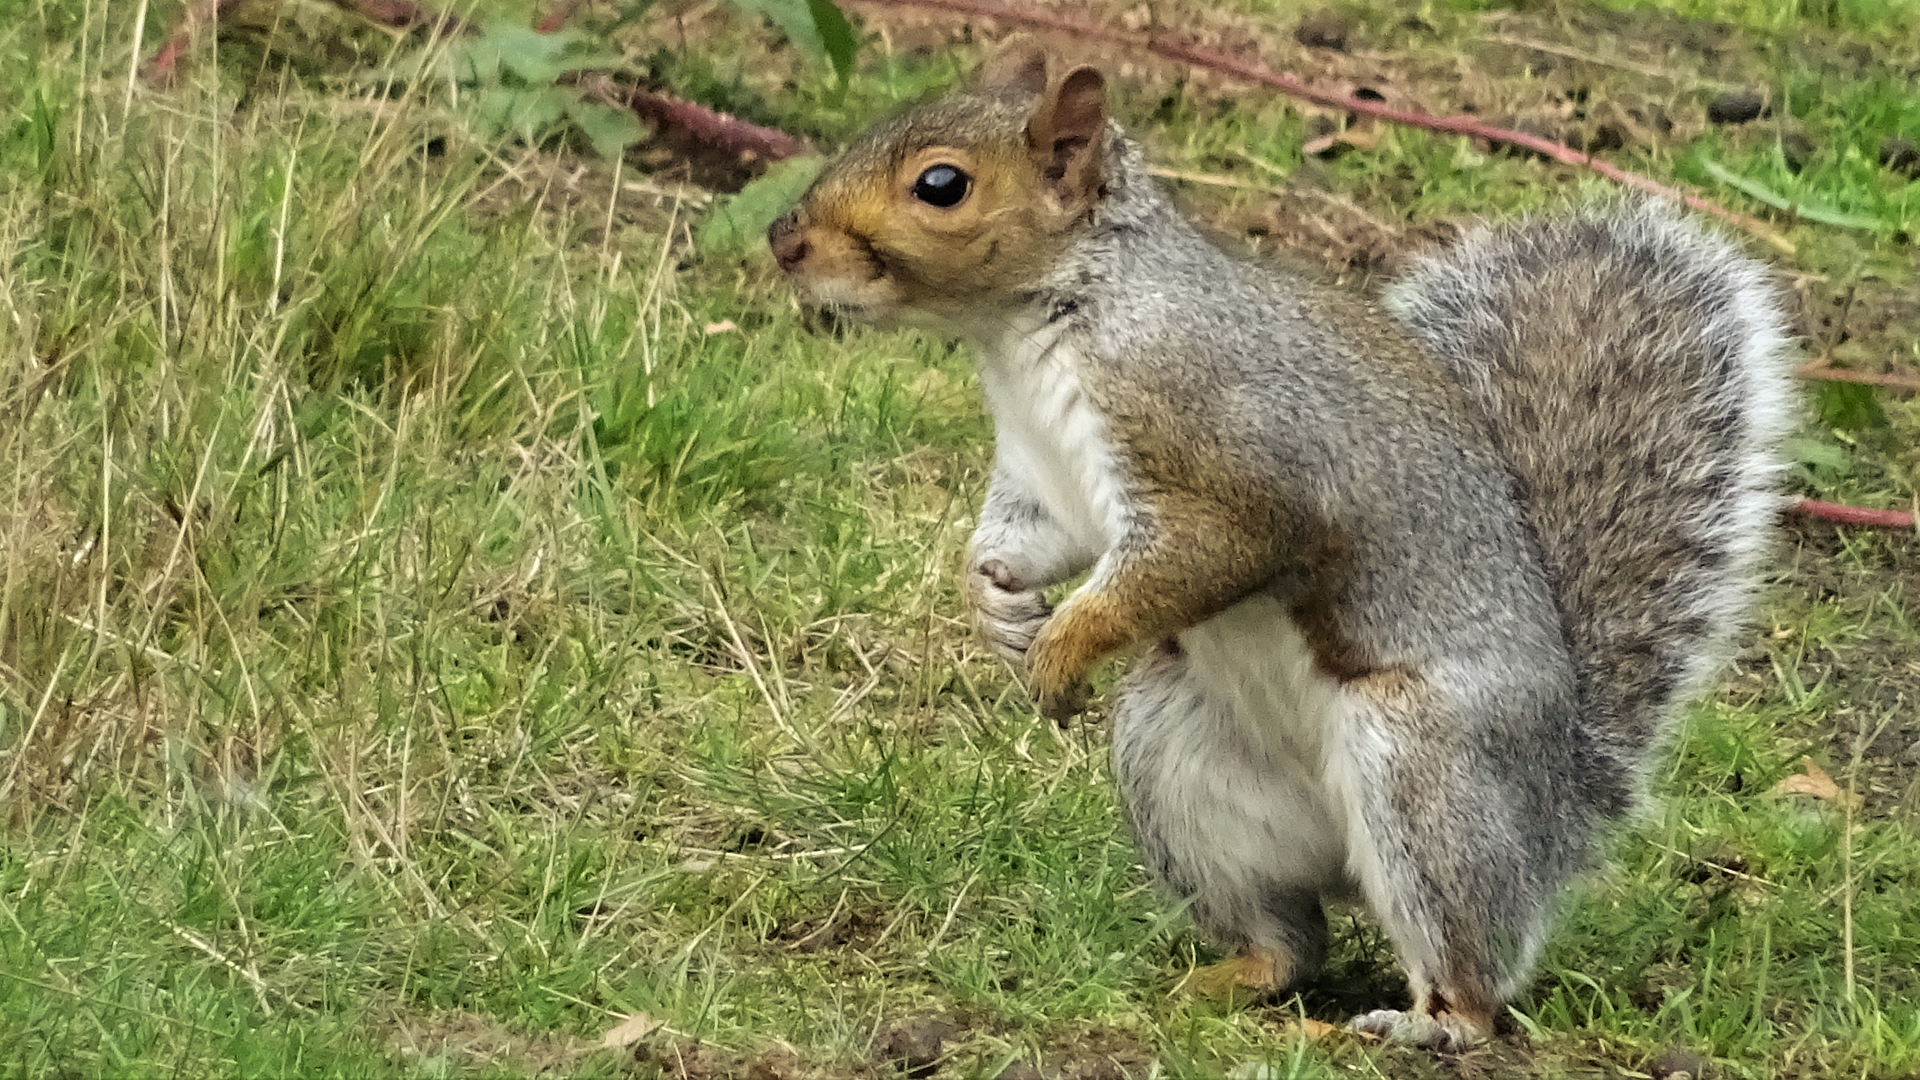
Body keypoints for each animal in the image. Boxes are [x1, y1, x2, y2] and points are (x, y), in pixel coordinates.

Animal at [766, 36, 1795, 1052]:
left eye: (941, 185)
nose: (784, 237)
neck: (1039, 322)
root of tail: (1558, 812)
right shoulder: (1040, 476)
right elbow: (1021, 542)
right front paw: (997, 607)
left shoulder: (1223, 457)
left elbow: (1199, 554)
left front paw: (1061, 647)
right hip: (1172, 756)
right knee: (1292, 941)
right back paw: (1231, 976)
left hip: (1421, 770)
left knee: (1473, 968)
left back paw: (1425, 1023)